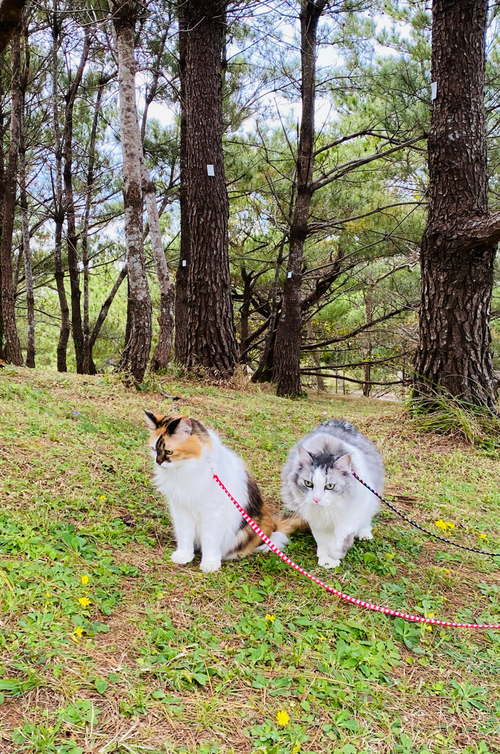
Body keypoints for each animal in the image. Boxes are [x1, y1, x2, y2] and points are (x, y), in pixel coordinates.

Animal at [144, 412, 290, 568]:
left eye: (169, 452)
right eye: (154, 450)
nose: (158, 462)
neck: (186, 470)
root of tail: (273, 524)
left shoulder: (214, 512)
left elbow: (210, 539)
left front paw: (210, 563)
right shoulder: (182, 509)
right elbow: (185, 535)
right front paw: (184, 555)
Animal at [282, 420, 382, 568]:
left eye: (329, 486)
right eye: (308, 483)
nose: (316, 499)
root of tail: (339, 421)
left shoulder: (350, 513)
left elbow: (342, 535)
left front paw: (336, 553)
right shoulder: (316, 520)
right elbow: (322, 540)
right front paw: (327, 561)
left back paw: (364, 534)